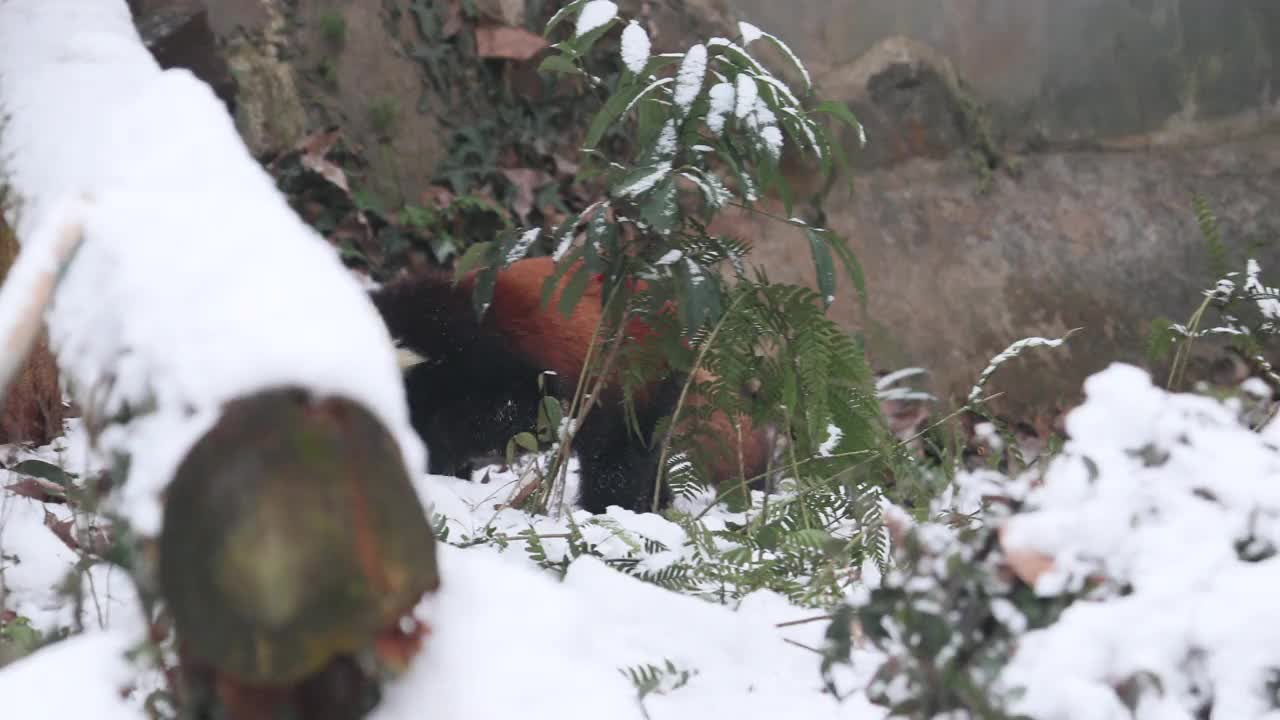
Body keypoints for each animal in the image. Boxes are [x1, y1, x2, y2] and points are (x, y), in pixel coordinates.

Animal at [371, 254, 768, 512]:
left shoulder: (495, 359)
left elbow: (523, 417)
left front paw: (435, 458)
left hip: (634, 377)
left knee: (618, 455)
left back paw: (613, 507)